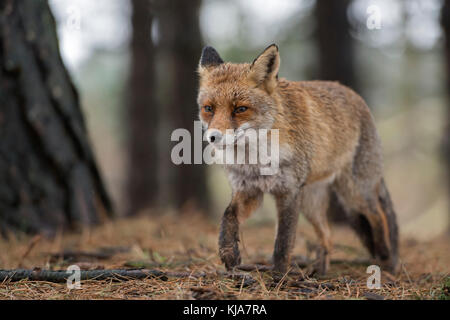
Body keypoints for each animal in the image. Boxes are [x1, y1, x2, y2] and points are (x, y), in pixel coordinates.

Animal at [196, 44, 398, 276]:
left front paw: (279, 275)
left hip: (354, 193)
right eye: (208, 108)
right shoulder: (249, 191)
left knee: (378, 216)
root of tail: (356, 95)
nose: (213, 137)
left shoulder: (289, 192)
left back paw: (386, 258)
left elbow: (283, 242)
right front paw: (229, 253)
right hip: (312, 203)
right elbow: (228, 217)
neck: (256, 161)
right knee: (328, 236)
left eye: (240, 109)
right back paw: (320, 271)